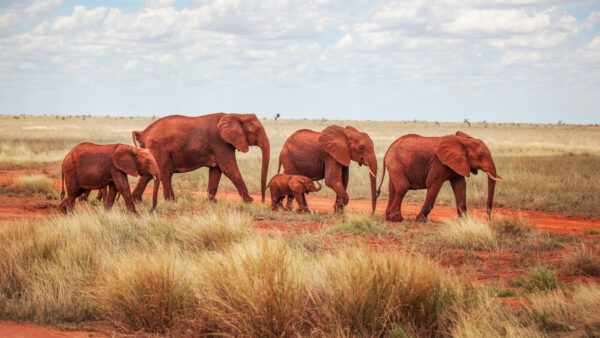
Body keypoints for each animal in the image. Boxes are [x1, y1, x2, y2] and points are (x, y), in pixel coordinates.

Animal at [134, 113, 272, 203]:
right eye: (256, 130)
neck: (238, 115)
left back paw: (137, 201)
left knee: (149, 174)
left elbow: (217, 170)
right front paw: (249, 201)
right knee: (165, 173)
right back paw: (171, 201)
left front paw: (212, 202)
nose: (263, 201)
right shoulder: (220, 143)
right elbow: (229, 169)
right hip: (160, 149)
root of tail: (143, 133)